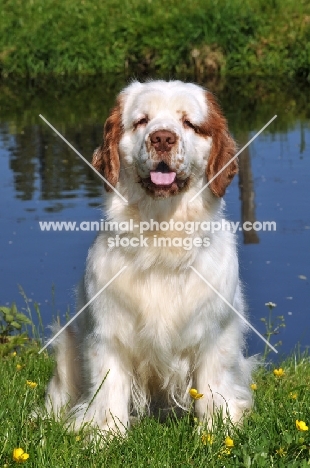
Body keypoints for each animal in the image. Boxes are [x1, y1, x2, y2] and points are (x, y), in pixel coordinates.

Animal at [45, 79, 254, 436]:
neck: (161, 240)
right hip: (67, 345)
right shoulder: (108, 334)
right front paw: (104, 437)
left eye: (189, 123)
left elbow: (213, 386)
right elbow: (109, 389)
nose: (163, 138)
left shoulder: (215, 332)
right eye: (142, 121)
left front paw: (216, 432)